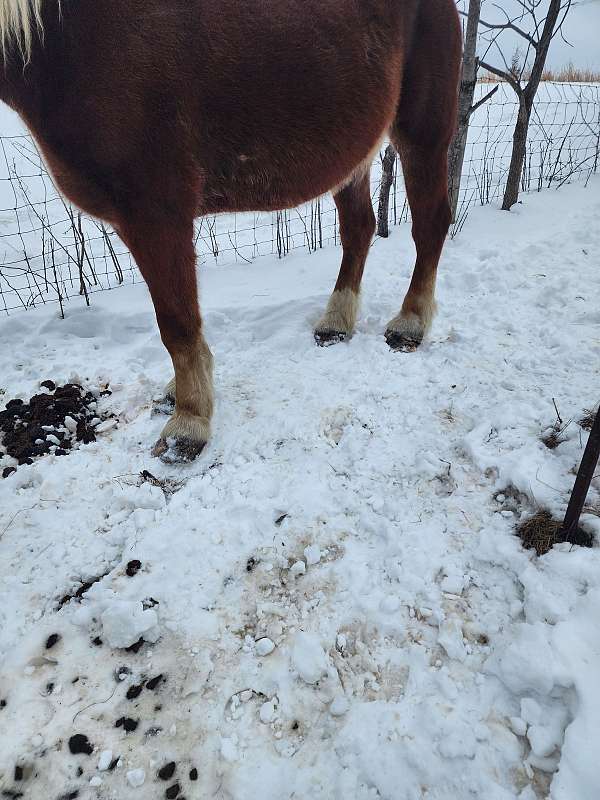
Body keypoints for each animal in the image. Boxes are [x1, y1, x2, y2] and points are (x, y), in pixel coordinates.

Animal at [0, 0, 460, 462]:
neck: (69, 42)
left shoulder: (156, 215)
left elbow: (177, 324)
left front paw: (188, 424)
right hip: (354, 150)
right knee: (359, 228)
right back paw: (336, 322)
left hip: (424, 132)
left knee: (430, 224)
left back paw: (410, 323)